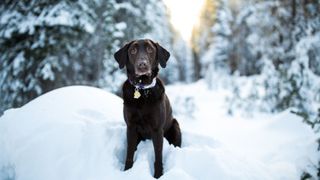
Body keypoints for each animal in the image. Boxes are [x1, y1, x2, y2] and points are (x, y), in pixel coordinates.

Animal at [114, 38, 181, 178]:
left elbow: (158, 156)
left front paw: (158, 175)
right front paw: (127, 171)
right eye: (133, 50)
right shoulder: (131, 127)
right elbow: (129, 153)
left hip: (175, 126)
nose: (142, 65)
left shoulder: (157, 129)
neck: (142, 90)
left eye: (150, 49)